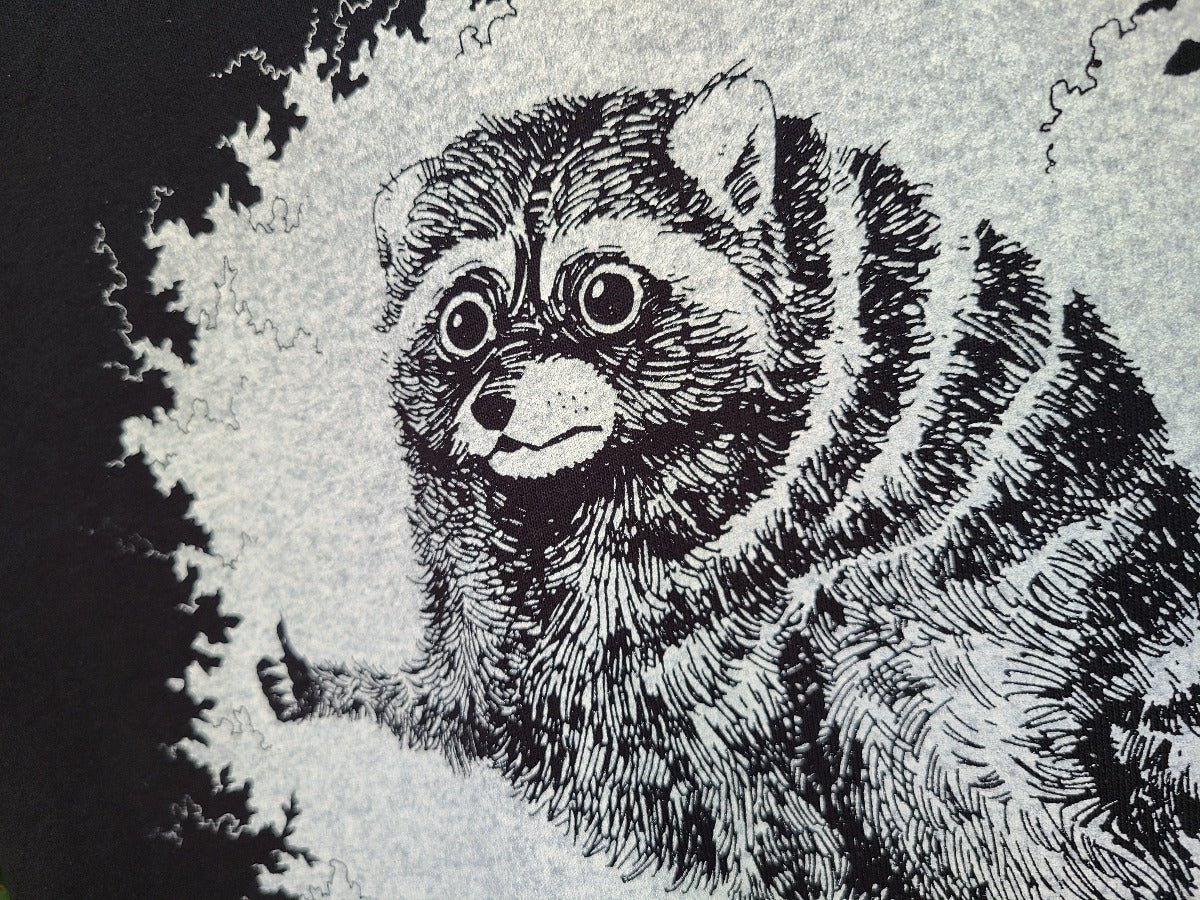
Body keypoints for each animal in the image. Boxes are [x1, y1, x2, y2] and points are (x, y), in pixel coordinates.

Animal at [258, 70, 1200, 899]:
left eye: (606, 296)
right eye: (465, 322)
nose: (494, 404)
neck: (566, 486)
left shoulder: (743, 549)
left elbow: (732, 765)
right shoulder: (477, 552)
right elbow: (477, 699)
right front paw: (349, 691)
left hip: (1002, 624)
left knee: (915, 720)